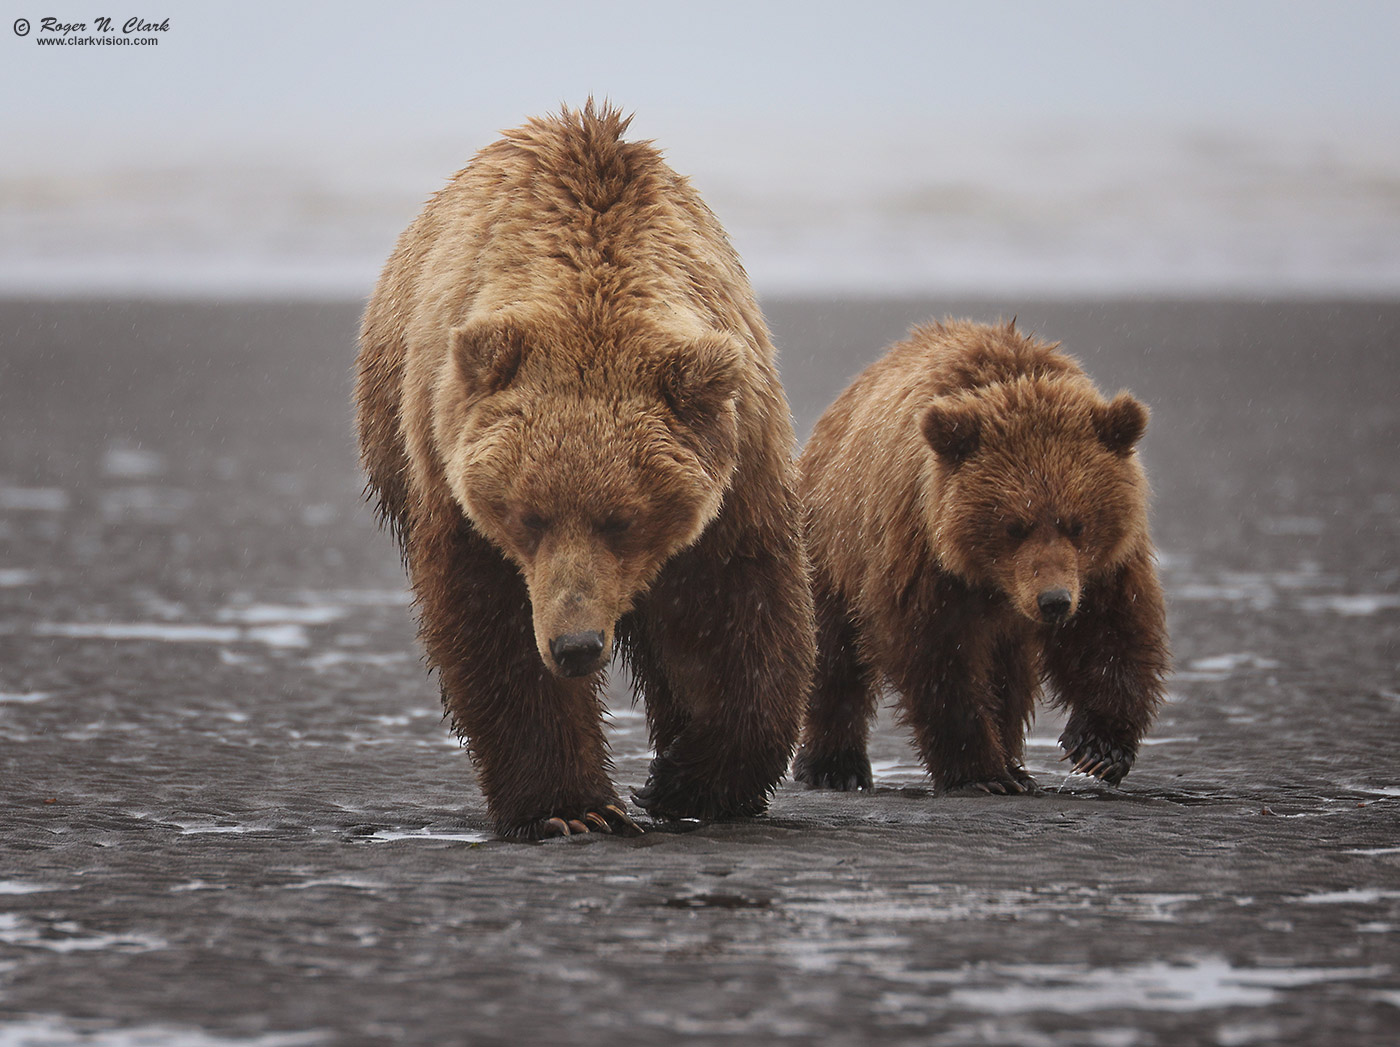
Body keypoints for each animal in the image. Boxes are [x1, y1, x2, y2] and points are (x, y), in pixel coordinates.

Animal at [350, 104, 817, 839]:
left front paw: (693, 781)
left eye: (622, 518)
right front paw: (573, 807)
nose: (575, 643)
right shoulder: (456, 479)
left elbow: (730, 609)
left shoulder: (738, 462)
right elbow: (495, 626)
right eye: (528, 514)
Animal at [789, 319, 1170, 795]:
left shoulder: (1105, 563)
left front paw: (1100, 748)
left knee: (1010, 677)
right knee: (834, 655)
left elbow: (1113, 627)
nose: (1054, 601)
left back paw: (1017, 765)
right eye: (1014, 526)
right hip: (835, 542)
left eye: (1077, 523)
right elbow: (937, 657)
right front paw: (980, 774)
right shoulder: (921, 551)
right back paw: (833, 765)